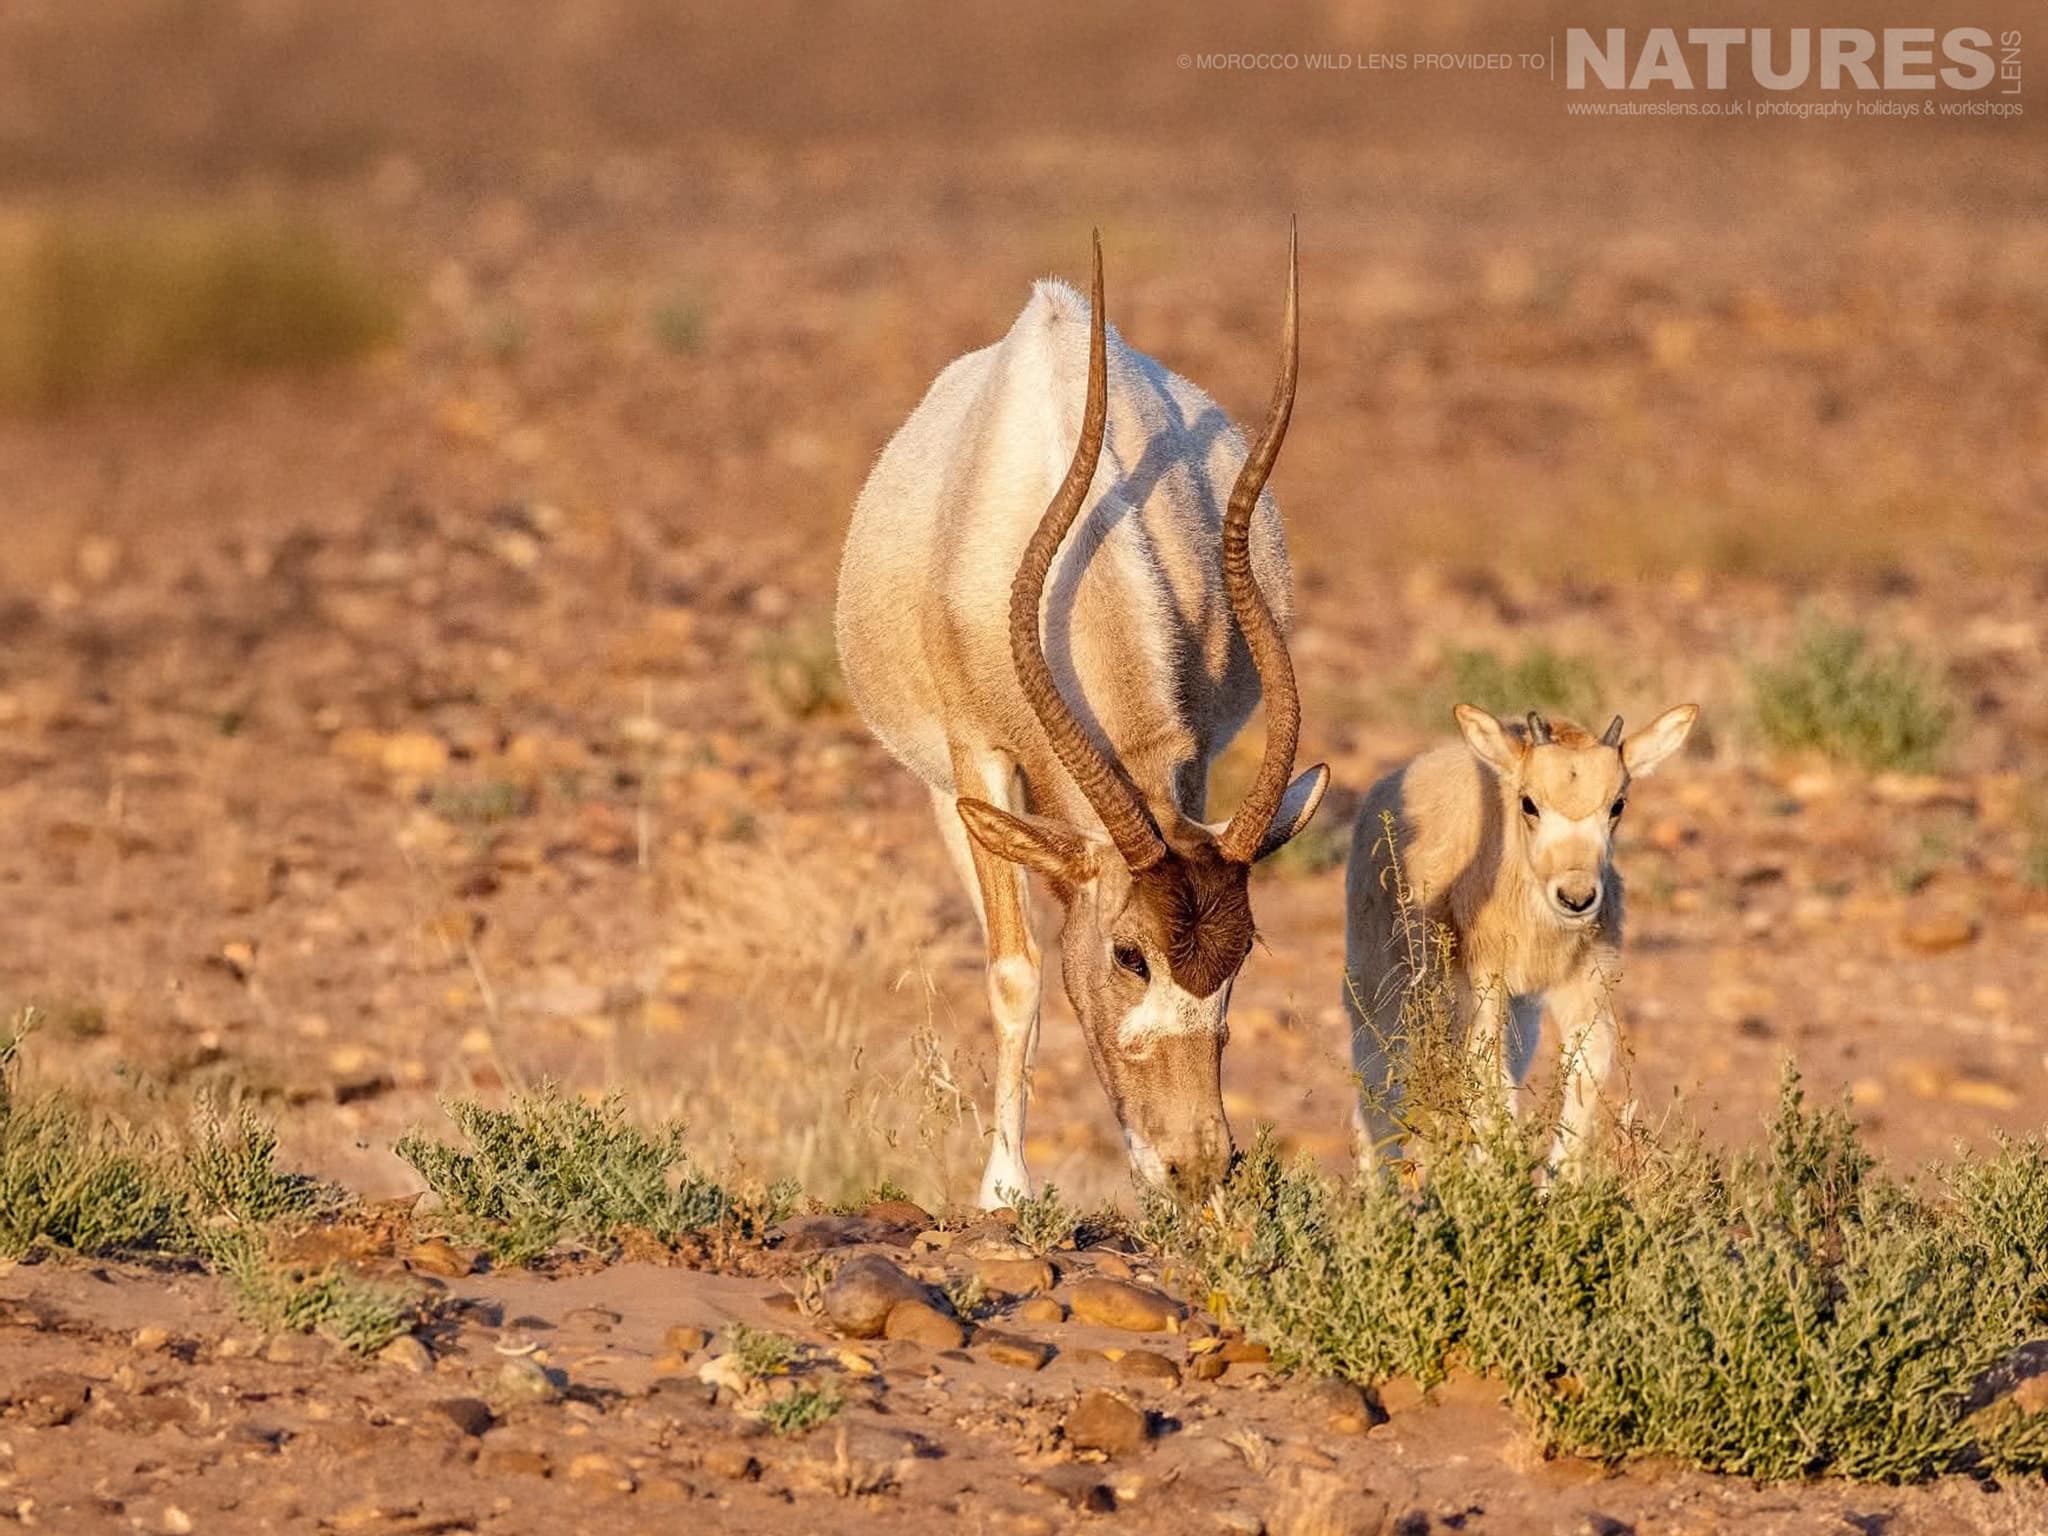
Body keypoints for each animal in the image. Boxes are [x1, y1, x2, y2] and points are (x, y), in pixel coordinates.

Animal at [835, 232, 1328, 1208]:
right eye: (1129, 954)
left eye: (1243, 955)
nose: (1195, 1167)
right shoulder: (980, 752)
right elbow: (1016, 971)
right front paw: (1003, 1190)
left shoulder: (1189, 756)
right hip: (949, 792)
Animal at [1342, 703, 1698, 1171]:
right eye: (1529, 802)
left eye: (1617, 804)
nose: (1576, 898)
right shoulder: (1479, 992)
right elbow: (1489, 1079)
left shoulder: (1580, 988)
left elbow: (1584, 1069)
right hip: (1380, 997)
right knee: (1376, 1098)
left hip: (1521, 1014)